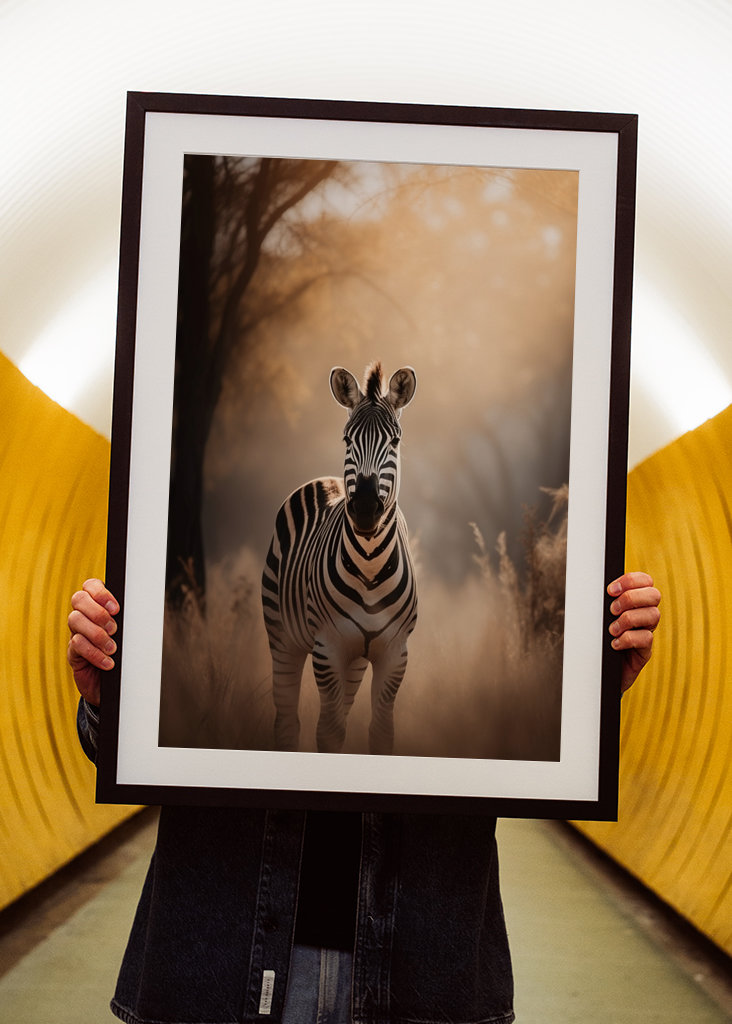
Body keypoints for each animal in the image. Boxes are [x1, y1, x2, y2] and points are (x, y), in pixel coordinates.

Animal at [261, 362, 418, 755]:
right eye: (347, 440)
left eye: (395, 441)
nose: (364, 508)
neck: (370, 564)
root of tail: (325, 480)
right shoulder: (328, 648)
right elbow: (328, 733)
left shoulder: (394, 654)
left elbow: (380, 732)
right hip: (282, 637)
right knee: (287, 720)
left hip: (355, 660)